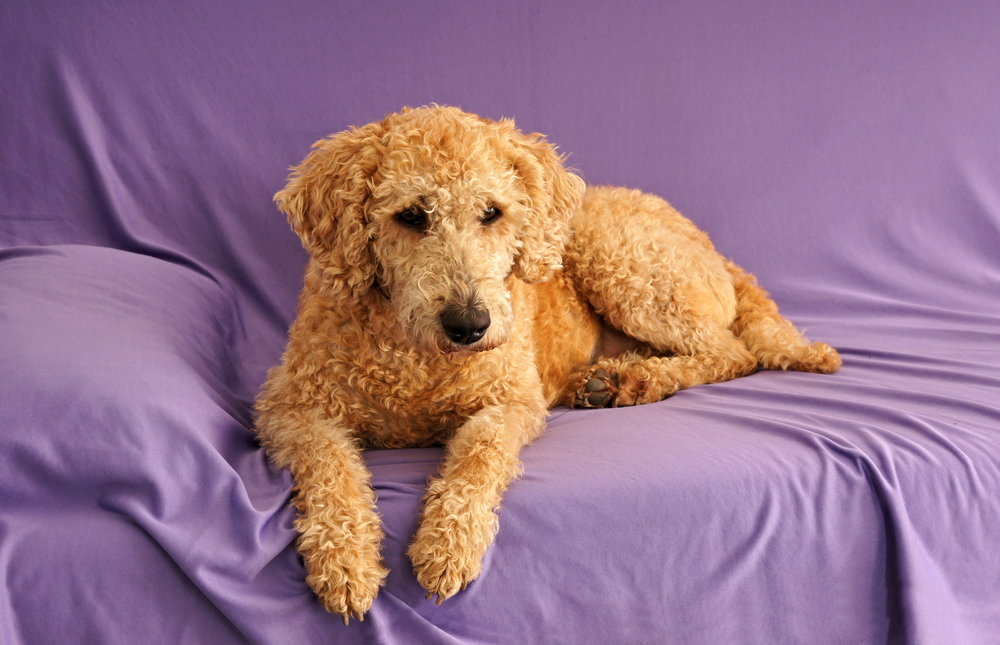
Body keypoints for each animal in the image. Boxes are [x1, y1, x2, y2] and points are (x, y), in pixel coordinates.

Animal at [254, 103, 840, 620]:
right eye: (411, 216)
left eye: (492, 212)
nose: (469, 324)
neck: (418, 359)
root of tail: (715, 248)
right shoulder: (290, 407)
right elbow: (329, 464)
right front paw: (344, 563)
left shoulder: (512, 400)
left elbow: (480, 453)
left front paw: (449, 544)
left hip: (622, 263)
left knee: (729, 352)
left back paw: (631, 379)